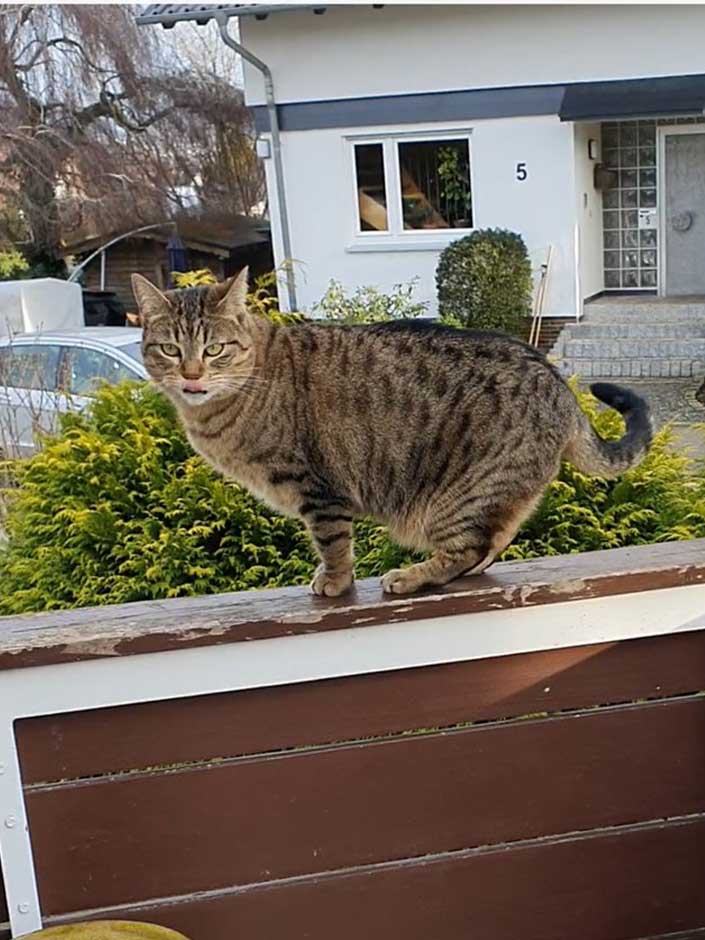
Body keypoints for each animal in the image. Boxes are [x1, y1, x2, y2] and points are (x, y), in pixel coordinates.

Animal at [131, 268, 648, 600]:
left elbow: (333, 542)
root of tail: (560, 386)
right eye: (170, 349)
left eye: (214, 349)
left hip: (458, 498)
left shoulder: (318, 488)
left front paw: (334, 581)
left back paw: (412, 575)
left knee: (471, 548)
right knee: (491, 545)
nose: (192, 376)